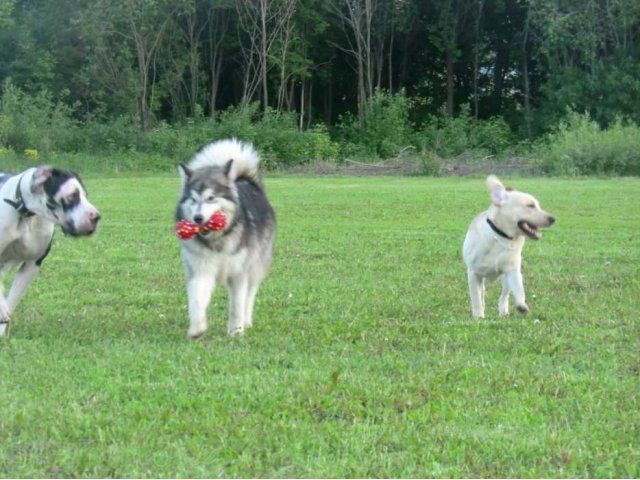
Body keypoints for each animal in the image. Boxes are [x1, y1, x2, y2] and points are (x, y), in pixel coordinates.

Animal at [0, 165, 100, 334]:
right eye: (72, 196)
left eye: (86, 195)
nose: (96, 217)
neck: (27, 216)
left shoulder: (32, 265)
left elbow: (12, 300)